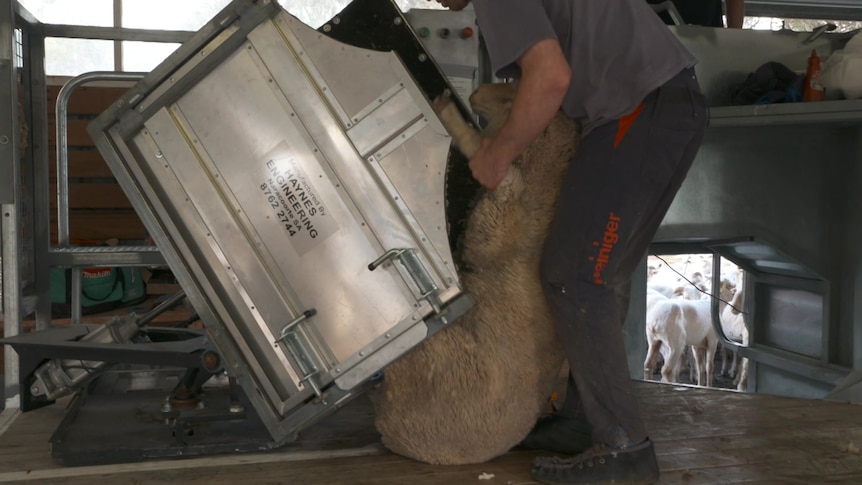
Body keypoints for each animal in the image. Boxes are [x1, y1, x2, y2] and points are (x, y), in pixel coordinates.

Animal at [372, 84, 580, 466]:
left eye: (513, 94)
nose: (475, 93)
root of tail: (391, 432)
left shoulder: (505, 193)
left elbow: (483, 154)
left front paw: (446, 113)